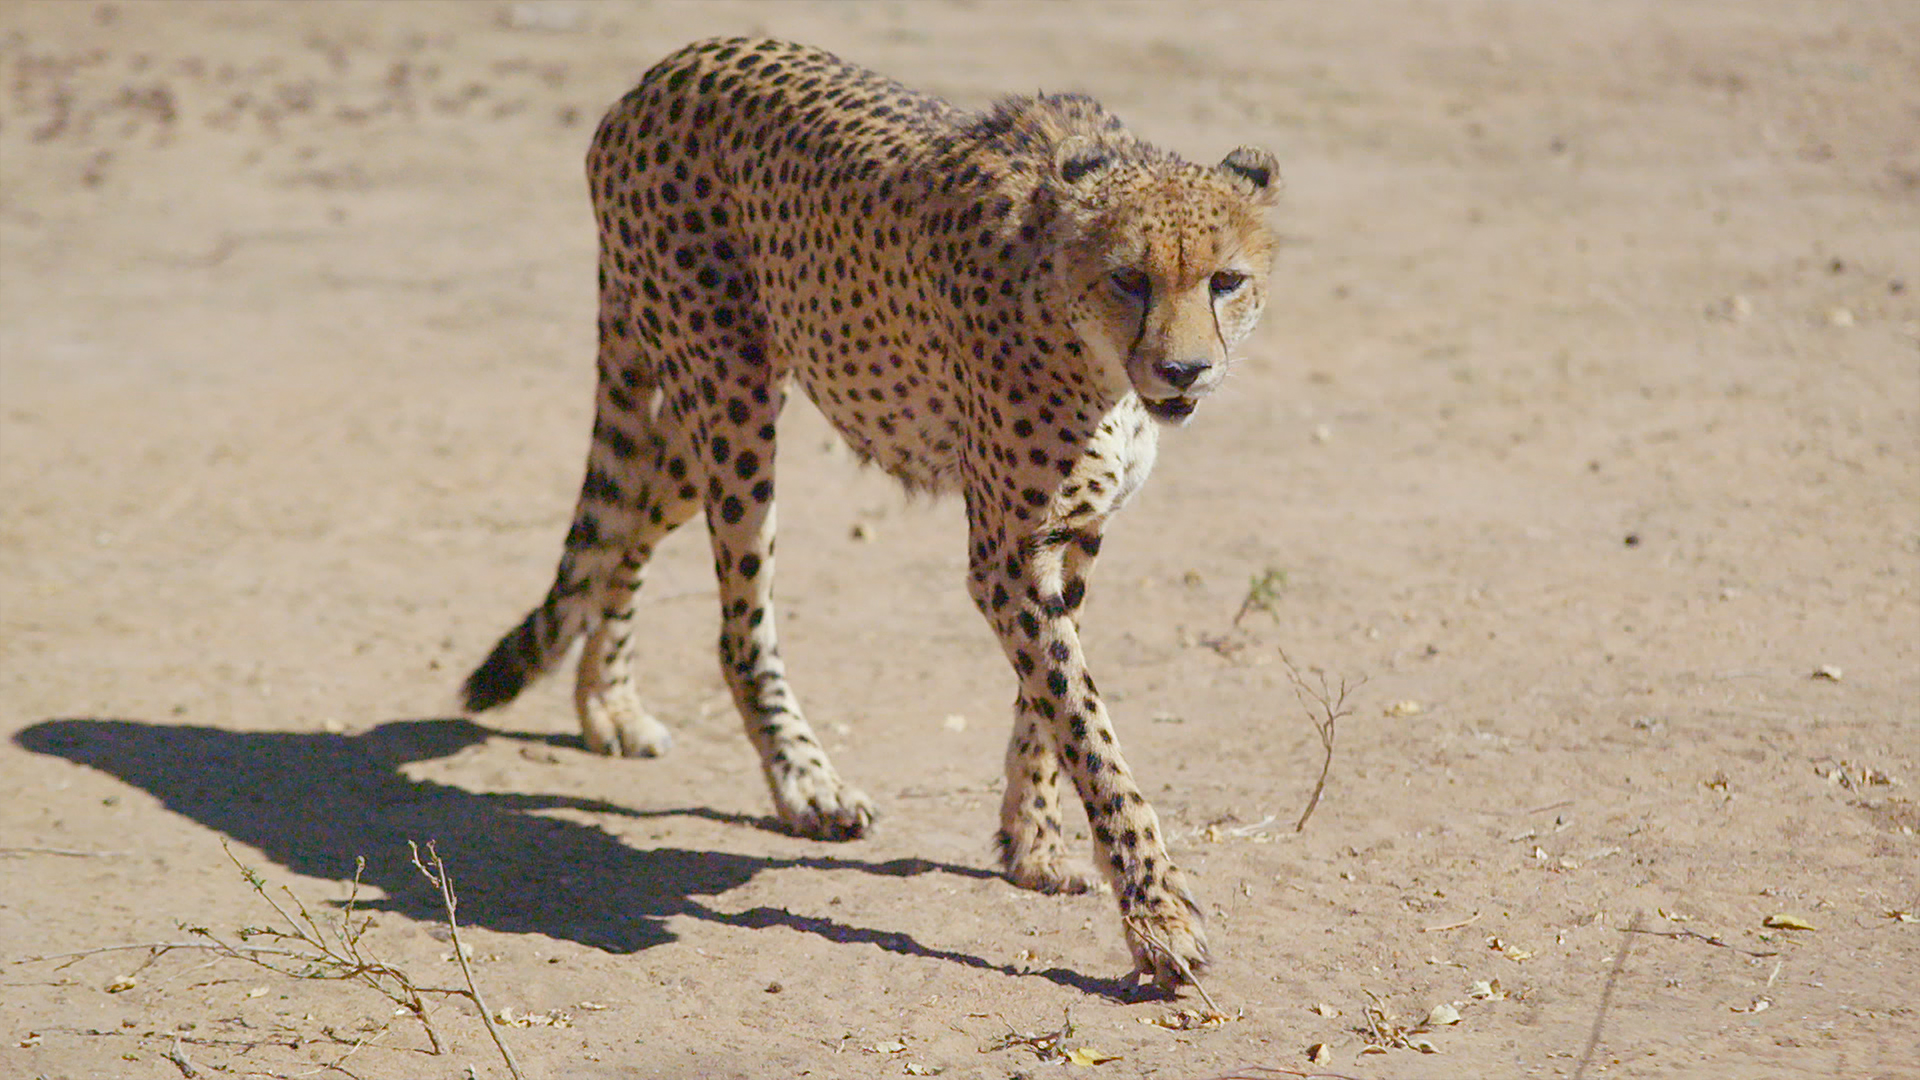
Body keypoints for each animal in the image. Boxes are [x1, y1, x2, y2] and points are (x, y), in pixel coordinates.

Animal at [460, 39, 1274, 983]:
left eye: (1226, 281)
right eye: (1129, 279)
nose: (1185, 372)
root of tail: (667, 68)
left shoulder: (1073, 534)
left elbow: (1046, 708)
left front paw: (1031, 843)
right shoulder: (1007, 554)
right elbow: (1086, 726)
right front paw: (1157, 915)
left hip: (701, 418)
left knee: (627, 514)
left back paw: (608, 704)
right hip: (732, 401)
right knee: (737, 627)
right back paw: (805, 783)